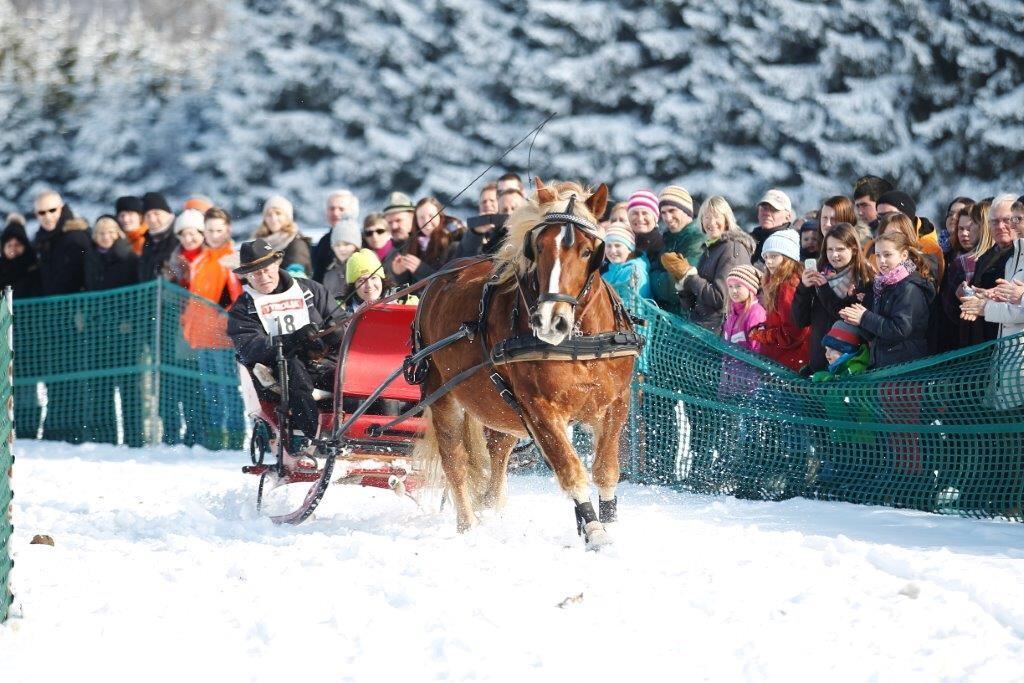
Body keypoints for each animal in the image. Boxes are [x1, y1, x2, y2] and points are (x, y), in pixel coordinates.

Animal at [411, 179, 634, 548]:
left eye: (587, 251)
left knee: (496, 458)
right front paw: (594, 530)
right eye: (539, 248)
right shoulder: (539, 409)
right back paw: (468, 527)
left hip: (503, 414)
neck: (577, 342)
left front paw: (608, 523)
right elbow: (570, 468)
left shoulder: (616, 404)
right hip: (442, 395)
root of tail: (438, 280)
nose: (550, 321)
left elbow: (605, 469)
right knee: (456, 463)